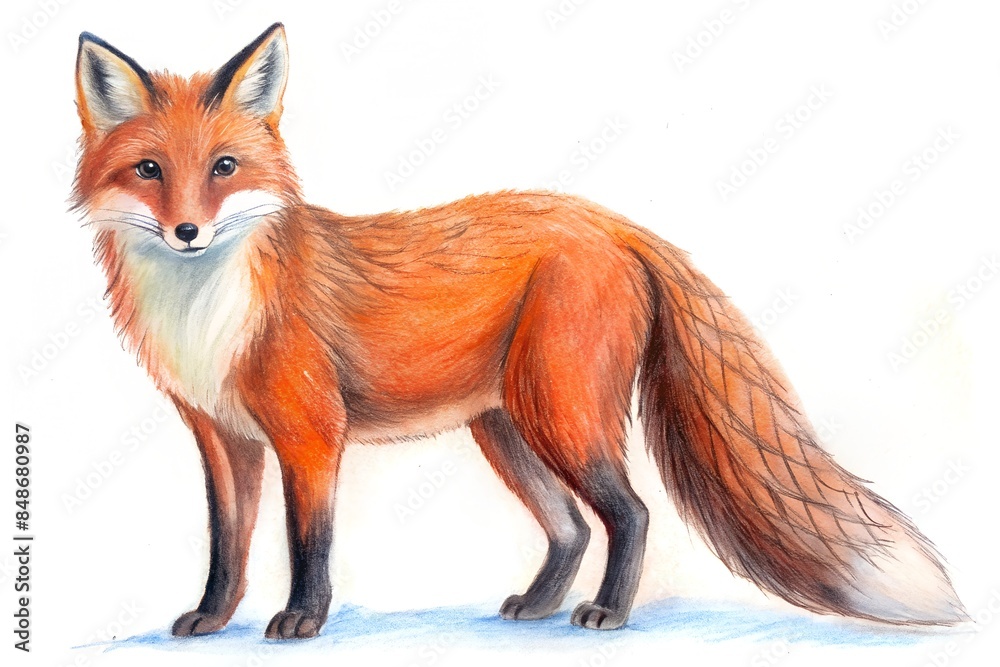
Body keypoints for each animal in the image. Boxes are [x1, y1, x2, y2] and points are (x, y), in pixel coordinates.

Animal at [72, 23, 967, 640]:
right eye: (150, 171)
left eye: (224, 168)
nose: (187, 231)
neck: (208, 306)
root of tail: (611, 222)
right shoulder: (223, 437)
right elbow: (227, 545)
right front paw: (211, 617)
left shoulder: (310, 432)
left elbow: (308, 541)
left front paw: (303, 619)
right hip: (506, 426)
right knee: (570, 525)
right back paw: (537, 603)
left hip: (557, 411)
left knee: (630, 512)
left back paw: (607, 611)